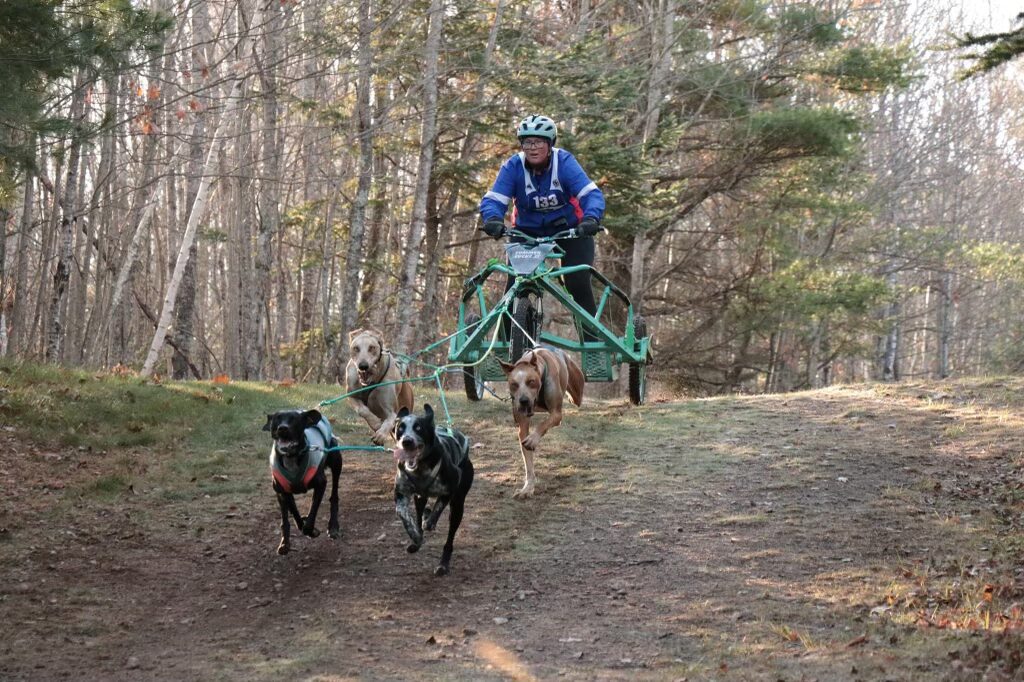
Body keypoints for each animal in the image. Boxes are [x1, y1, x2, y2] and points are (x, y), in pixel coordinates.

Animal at [264, 409, 344, 552]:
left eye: (294, 419)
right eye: (277, 419)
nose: (282, 428)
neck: (291, 457)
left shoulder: (321, 484)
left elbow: (312, 512)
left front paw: (311, 531)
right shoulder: (282, 491)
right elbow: (292, 515)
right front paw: (285, 543)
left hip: (336, 460)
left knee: (334, 495)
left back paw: (333, 526)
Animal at [391, 403, 475, 573]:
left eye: (418, 428)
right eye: (400, 428)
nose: (407, 441)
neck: (421, 468)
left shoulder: (450, 488)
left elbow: (438, 507)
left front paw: (429, 522)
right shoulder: (401, 493)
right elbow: (404, 515)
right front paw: (415, 536)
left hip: (457, 506)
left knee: (449, 538)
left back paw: (443, 563)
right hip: (420, 498)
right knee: (419, 514)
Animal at [495, 348, 585, 497]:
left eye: (531, 381)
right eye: (514, 384)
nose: (523, 400)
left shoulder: (556, 415)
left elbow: (543, 424)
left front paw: (533, 438)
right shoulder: (523, 424)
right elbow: (528, 459)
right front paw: (528, 487)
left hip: (577, 389)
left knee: (576, 398)